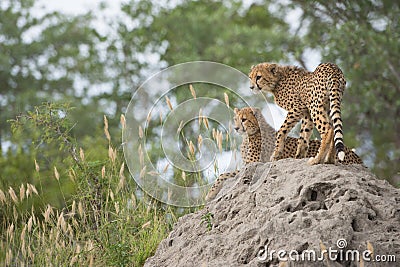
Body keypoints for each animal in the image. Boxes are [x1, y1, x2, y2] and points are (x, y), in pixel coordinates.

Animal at [205, 107, 364, 201]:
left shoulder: (252, 165)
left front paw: (210, 194)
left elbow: (223, 175)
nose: (236, 128)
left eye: (244, 119)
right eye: (236, 119)